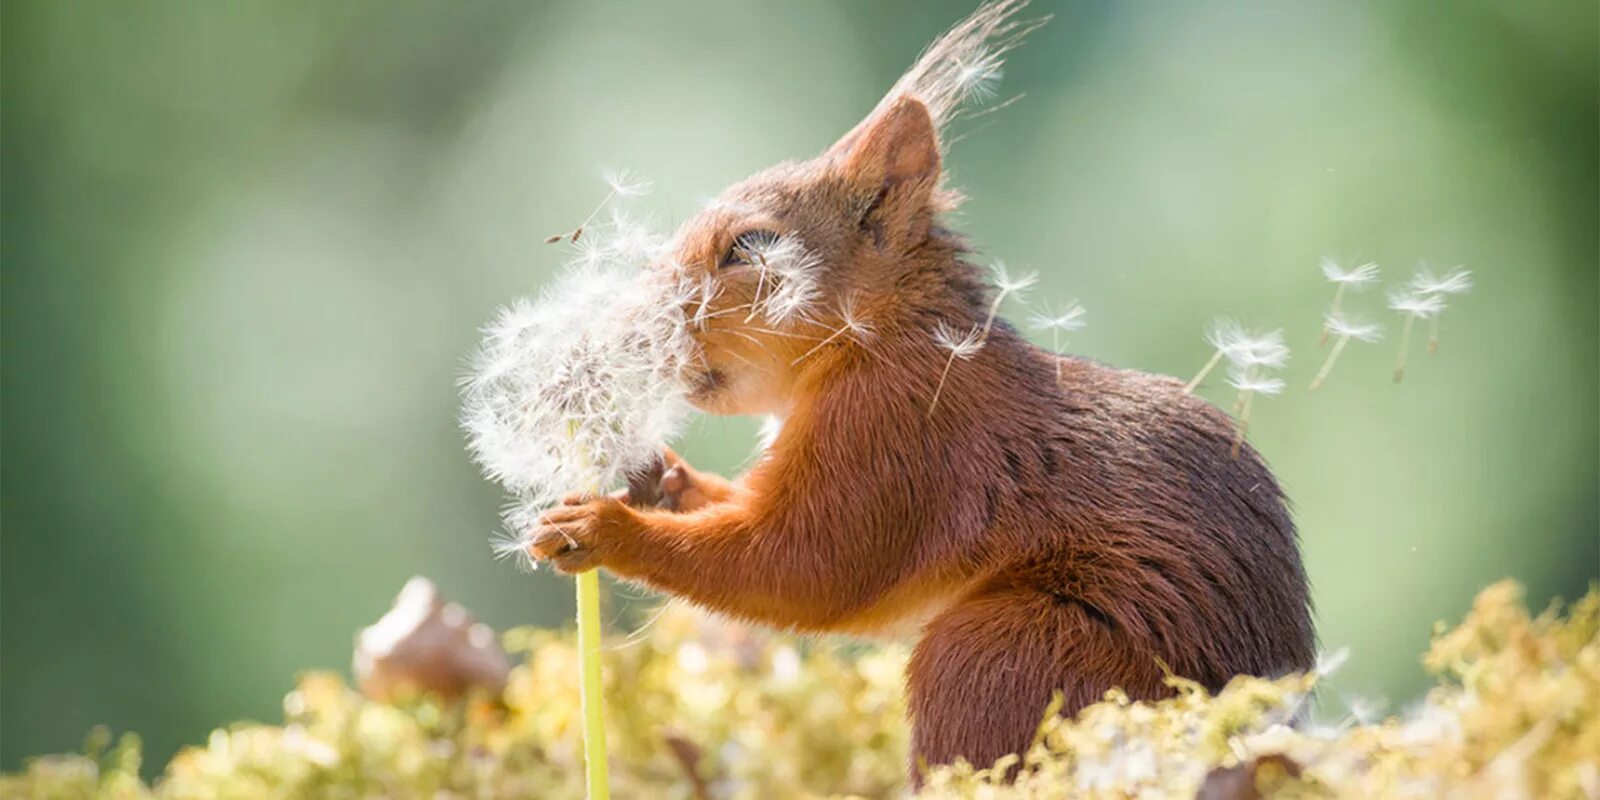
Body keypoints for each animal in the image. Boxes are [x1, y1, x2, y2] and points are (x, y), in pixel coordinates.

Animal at [524, 0, 1312, 774]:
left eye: (750, 247)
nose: (629, 327)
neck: (877, 339)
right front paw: (660, 478)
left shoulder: (898, 434)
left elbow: (803, 566)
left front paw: (603, 528)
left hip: (1006, 651)